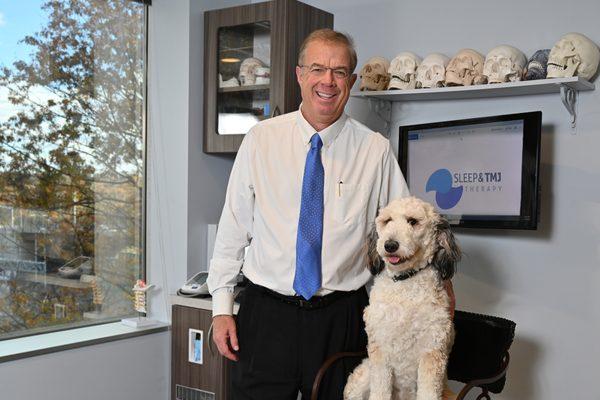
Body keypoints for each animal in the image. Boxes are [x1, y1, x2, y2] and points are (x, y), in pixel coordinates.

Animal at [342, 197, 460, 400]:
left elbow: (428, 392)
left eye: (412, 221)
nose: (390, 245)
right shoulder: (380, 350)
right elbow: (380, 391)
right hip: (360, 380)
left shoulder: (432, 352)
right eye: (387, 220)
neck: (405, 284)